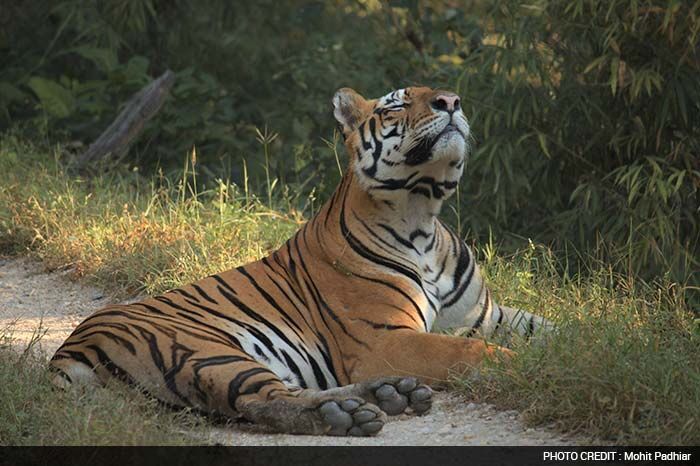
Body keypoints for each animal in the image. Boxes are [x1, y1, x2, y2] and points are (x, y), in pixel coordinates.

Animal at [50, 84, 552, 436]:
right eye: (395, 105)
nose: (451, 100)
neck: (423, 215)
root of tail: (68, 349)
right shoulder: (383, 339)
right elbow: (468, 351)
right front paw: (524, 368)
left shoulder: (485, 316)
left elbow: (553, 330)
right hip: (206, 352)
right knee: (260, 402)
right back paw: (348, 416)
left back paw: (390, 393)